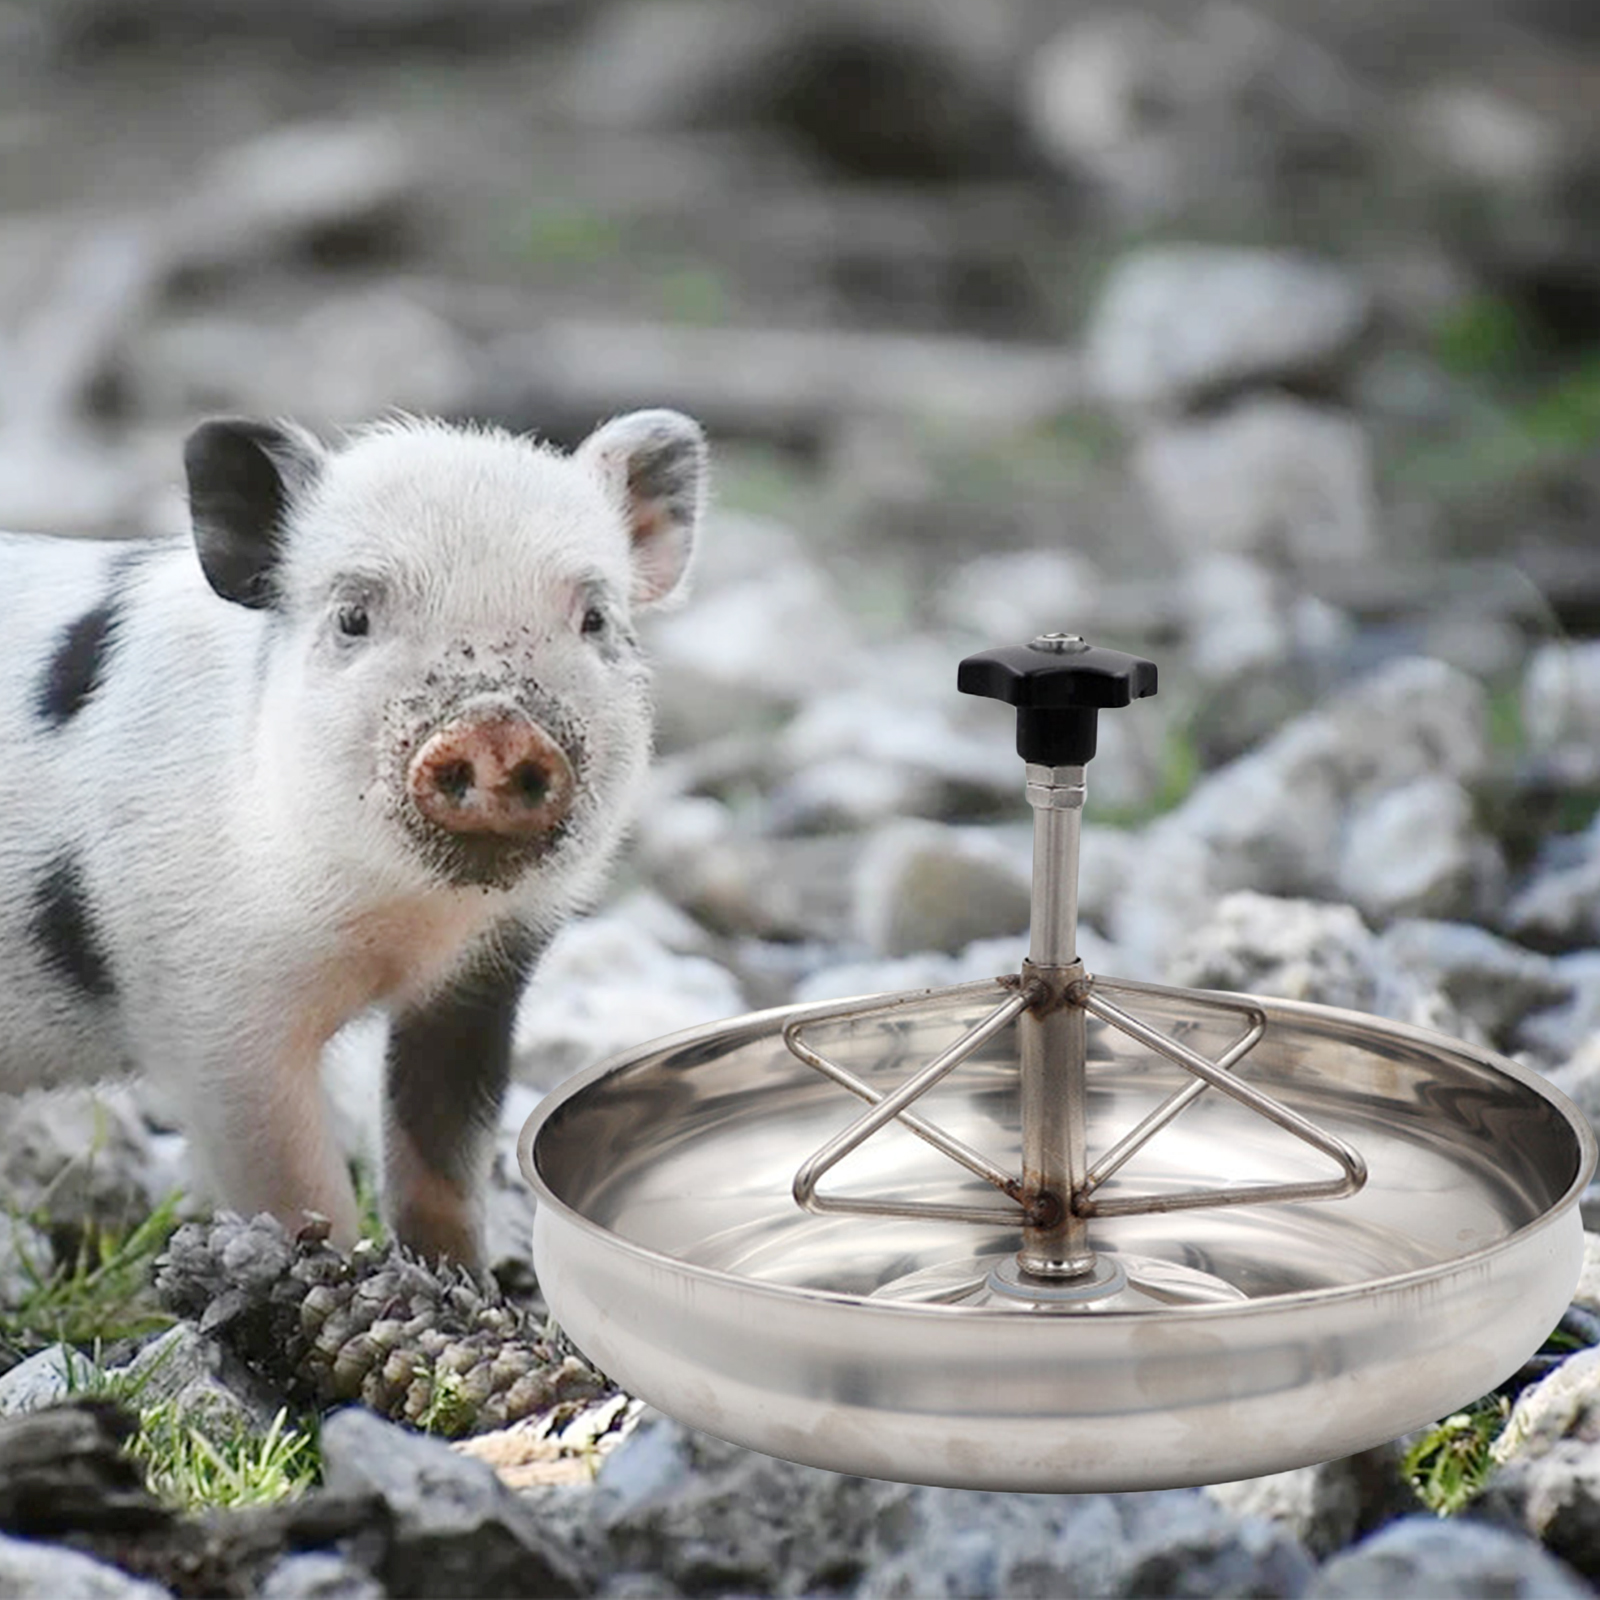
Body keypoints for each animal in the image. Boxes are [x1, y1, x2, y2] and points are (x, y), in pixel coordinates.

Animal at [0, 409, 707, 1269]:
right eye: (353, 618)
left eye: (595, 619)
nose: (495, 724)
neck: (404, 924)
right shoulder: (208, 1005)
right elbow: (298, 1180)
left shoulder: (486, 972)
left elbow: (441, 1156)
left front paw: (464, 1279)